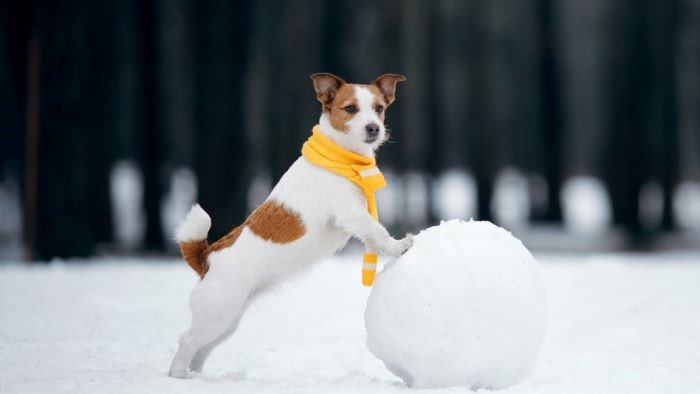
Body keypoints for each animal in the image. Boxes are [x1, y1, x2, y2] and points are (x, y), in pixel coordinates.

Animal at [169, 72, 412, 378]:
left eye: (379, 108)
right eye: (350, 109)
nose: (374, 128)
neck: (342, 157)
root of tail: (206, 257)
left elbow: (374, 236)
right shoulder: (352, 214)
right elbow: (378, 232)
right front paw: (399, 247)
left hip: (227, 320)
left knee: (202, 348)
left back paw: (198, 375)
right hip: (218, 312)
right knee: (186, 340)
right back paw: (179, 374)